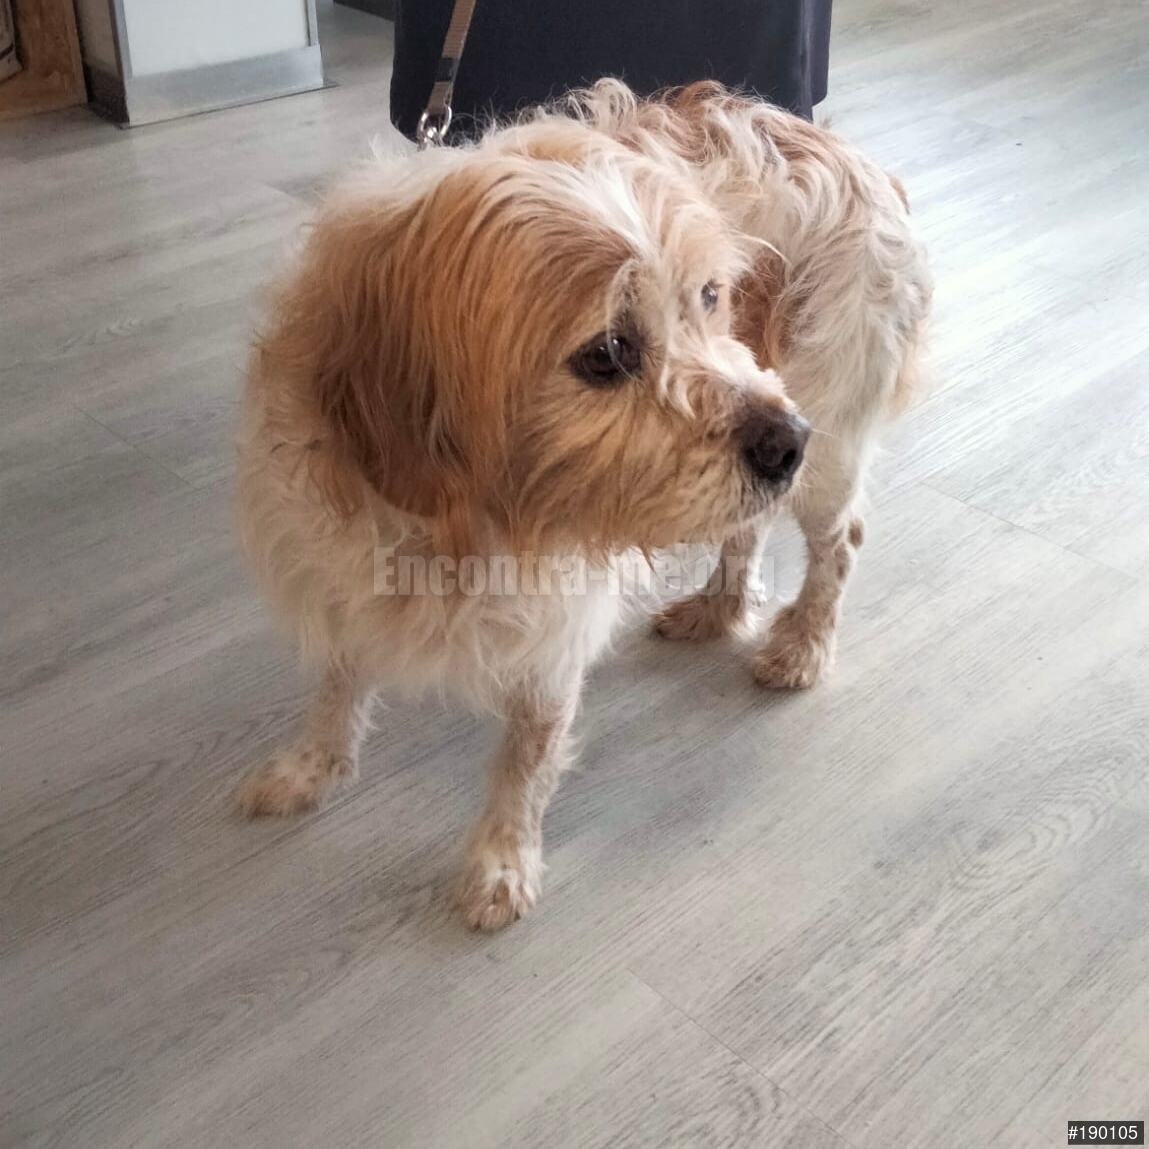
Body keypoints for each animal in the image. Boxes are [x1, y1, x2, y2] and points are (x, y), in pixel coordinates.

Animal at [235, 81, 931, 931]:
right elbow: (337, 689)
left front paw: (501, 861)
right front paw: (312, 768)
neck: (448, 530)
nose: (784, 443)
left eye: (710, 298)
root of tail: (857, 158)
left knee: (840, 542)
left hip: (826, 446)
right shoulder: (337, 571)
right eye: (605, 353)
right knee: (748, 531)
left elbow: (525, 757)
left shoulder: (555, 625)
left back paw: (800, 645)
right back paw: (717, 607)